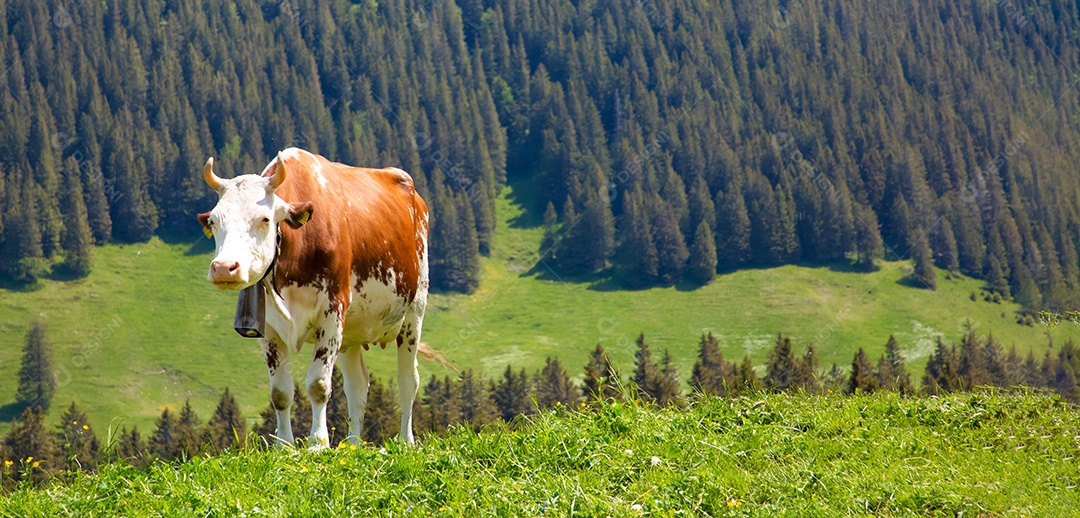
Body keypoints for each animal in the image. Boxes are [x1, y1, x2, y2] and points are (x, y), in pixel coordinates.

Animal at [196, 147, 427, 446]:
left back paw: (407, 441)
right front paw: (284, 445)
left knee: (408, 379)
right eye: (214, 221)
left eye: (264, 219)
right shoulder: (268, 328)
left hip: (414, 313)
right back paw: (353, 444)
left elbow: (318, 384)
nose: (224, 267)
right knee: (357, 386)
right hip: (352, 333)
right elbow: (280, 392)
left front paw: (318, 443)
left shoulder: (332, 311)